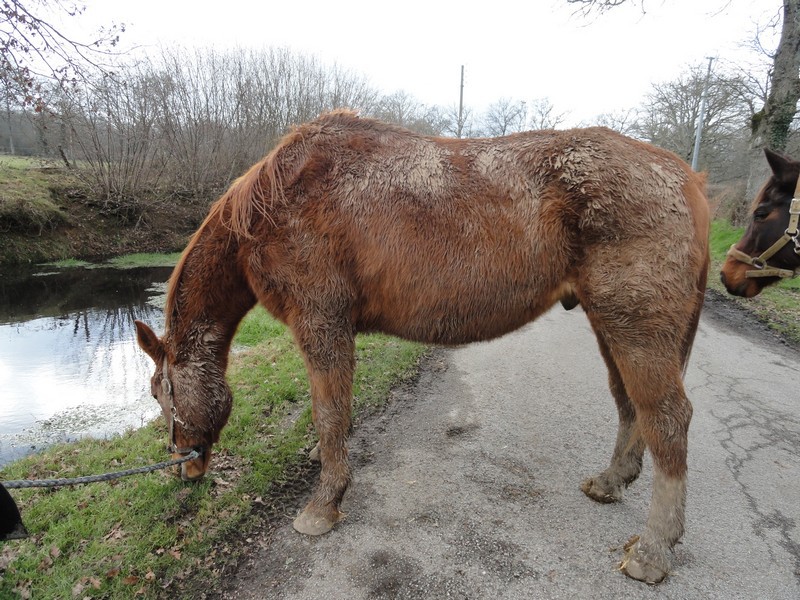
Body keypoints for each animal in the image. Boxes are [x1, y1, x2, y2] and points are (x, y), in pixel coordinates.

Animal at [134, 110, 708, 584]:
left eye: (162, 396)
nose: (184, 468)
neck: (272, 205)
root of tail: (686, 177)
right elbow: (335, 414)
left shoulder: (322, 324)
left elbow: (328, 413)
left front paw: (324, 504)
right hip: (609, 325)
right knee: (630, 406)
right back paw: (611, 483)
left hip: (635, 328)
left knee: (668, 418)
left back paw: (653, 551)